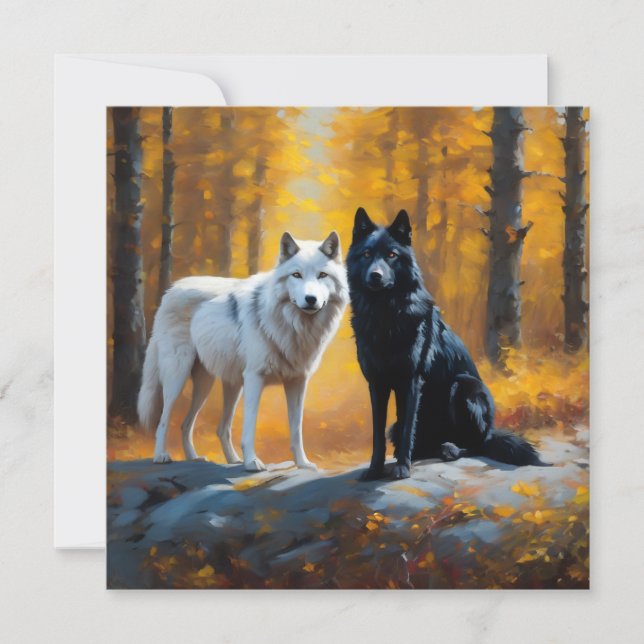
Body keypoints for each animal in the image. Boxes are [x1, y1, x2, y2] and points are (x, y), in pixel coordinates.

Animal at [137, 231, 348, 471]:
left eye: (322, 275)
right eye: (296, 275)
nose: (310, 299)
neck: (294, 326)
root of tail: (171, 290)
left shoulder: (298, 382)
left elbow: (296, 429)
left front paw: (303, 463)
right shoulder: (255, 378)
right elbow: (250, 426)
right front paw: (252, 462)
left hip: (216, 385)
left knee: (198, 425)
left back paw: (207, 458)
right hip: (178, 377)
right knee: (164, 420)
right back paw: (161, 455)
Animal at [347, 207, 547, 480]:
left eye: (391, 255)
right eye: (367, 254)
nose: (375, 276)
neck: (385, 314)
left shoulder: (411, 381)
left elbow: (409, 426)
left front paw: (402, 469)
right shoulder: (377, 384)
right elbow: (377, 434)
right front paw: (375, 470)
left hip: (464, 386)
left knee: (476, 444)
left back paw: (450, 449)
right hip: (399, 426)